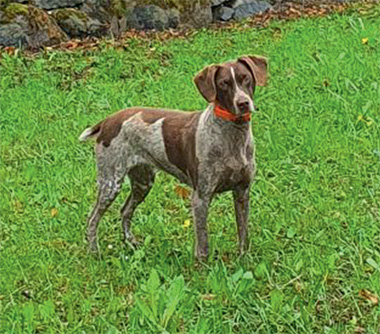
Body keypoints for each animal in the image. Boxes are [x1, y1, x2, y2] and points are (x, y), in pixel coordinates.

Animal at [78, 54, 268, 260]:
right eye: (224, 83)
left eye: (245, 78)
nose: (243, 103)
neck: (233, 136)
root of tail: (108, 121)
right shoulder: (201, 197)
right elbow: (203, 246)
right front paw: (203, 267)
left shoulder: (242, 192)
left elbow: (243, 235)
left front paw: (244, 260)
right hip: (110, 183)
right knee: (92, 218)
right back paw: (94, 252)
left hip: (143, 182)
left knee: (125, 210)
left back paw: (131, 243)